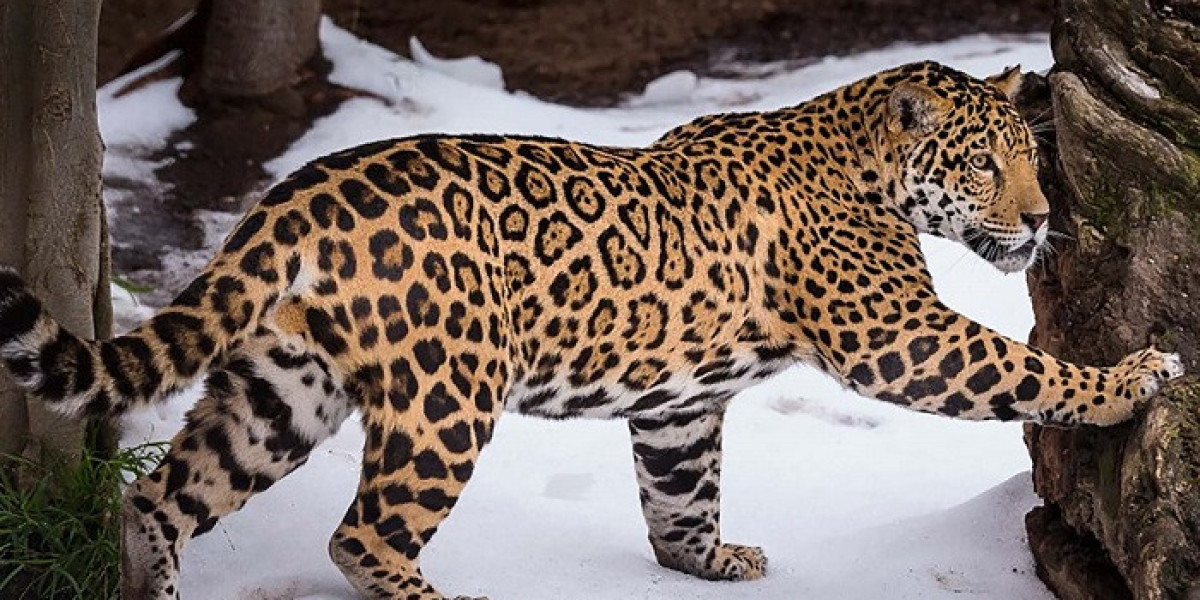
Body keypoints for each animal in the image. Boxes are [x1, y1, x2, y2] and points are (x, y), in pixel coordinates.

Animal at [0, 61, 1183, 600]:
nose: (1039, 220)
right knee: (362, 534)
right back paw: (443, 597)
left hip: (282, 387)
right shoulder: (900, 335)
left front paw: (708, 560)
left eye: (1030, 160)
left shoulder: (678, 405)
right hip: (445, 398)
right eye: (984, 165)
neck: (865, 163)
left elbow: (681, 494)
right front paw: (1132, 377)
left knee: (160, 499)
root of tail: (294, 197)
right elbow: (1022, 365)